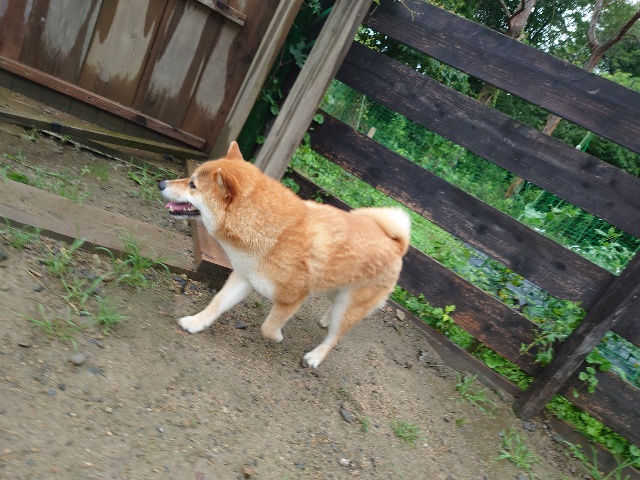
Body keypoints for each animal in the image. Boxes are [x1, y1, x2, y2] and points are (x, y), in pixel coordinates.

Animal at [158, 141, 410, 367]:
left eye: (192, 184)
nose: (161, 183)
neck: (274, 233)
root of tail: (397, 244)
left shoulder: (292, 297)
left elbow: (268, 327)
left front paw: (278, 335)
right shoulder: (244, 277)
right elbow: (217, 303)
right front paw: (196, 323)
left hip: (351, 305)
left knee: (335, 337)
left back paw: (316, 356)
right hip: (334, 287)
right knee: (334, 309)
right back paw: (327, 319)